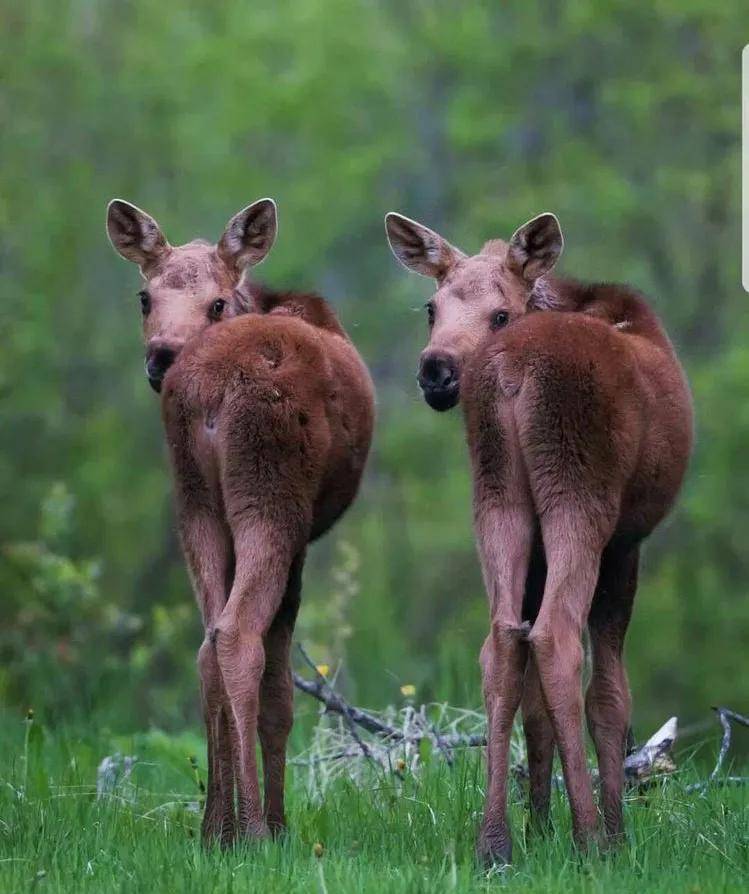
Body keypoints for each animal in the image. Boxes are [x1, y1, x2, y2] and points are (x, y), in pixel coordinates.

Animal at [106, 198, 372, 848]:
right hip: (270, 495)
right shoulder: (302, 540)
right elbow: (281, 687)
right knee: (237, 636)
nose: (161, 356)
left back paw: (212, 826)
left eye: (217, 302)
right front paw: (276, 820)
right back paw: (252, 826)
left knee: (206, 643)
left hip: (195, 501)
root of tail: (210, 393)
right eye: (145, 297)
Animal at [388, 210, 692, 868]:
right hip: (581, 495)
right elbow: (610, 696)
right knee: (555, 638)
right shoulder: (628, 542)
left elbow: (533, 702)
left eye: (501, 312)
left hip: (496, 496)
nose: (435, 370)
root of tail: (510, 375)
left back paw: (495, 841)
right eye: (431, 306)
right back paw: (592, 838)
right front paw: (611, 829)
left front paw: (538, 826)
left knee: (503, 641)